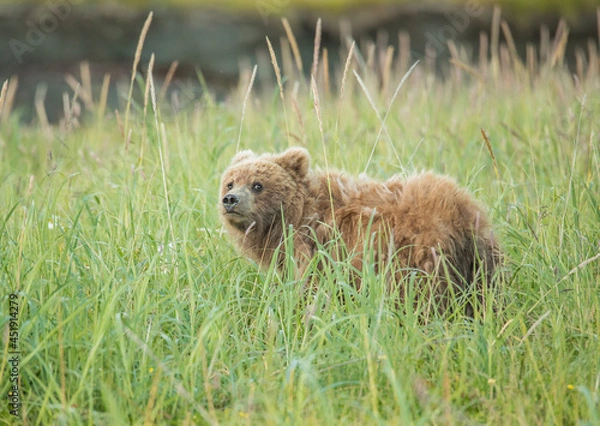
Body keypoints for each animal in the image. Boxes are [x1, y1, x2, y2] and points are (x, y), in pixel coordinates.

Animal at [220, 148, 502, 314]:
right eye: (230, 182)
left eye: (258, 184)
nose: (231, 200)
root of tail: (461, 213)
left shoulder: (318, 248)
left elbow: (312, 288)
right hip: (480, 261)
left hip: (420, 258)